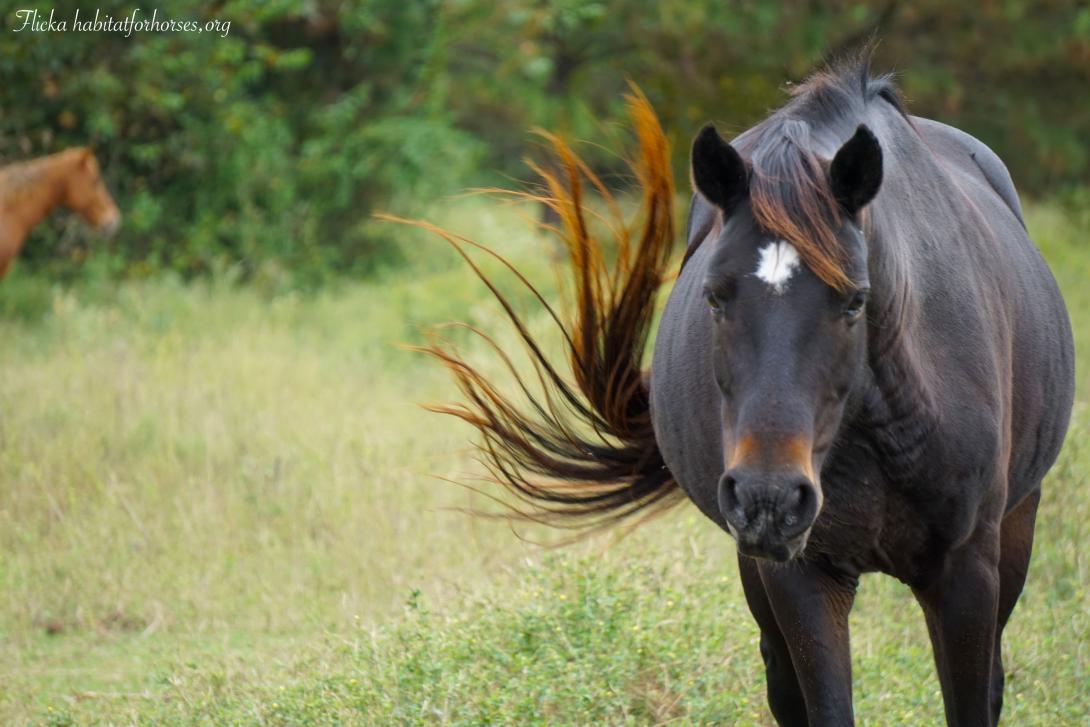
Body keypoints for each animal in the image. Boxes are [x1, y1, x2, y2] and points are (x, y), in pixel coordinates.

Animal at [420, 53, 1076, 723]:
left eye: (855, 301)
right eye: (714, 296)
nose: (769, 496)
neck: (884, 424)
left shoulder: (967, 572)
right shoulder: (802, 573)